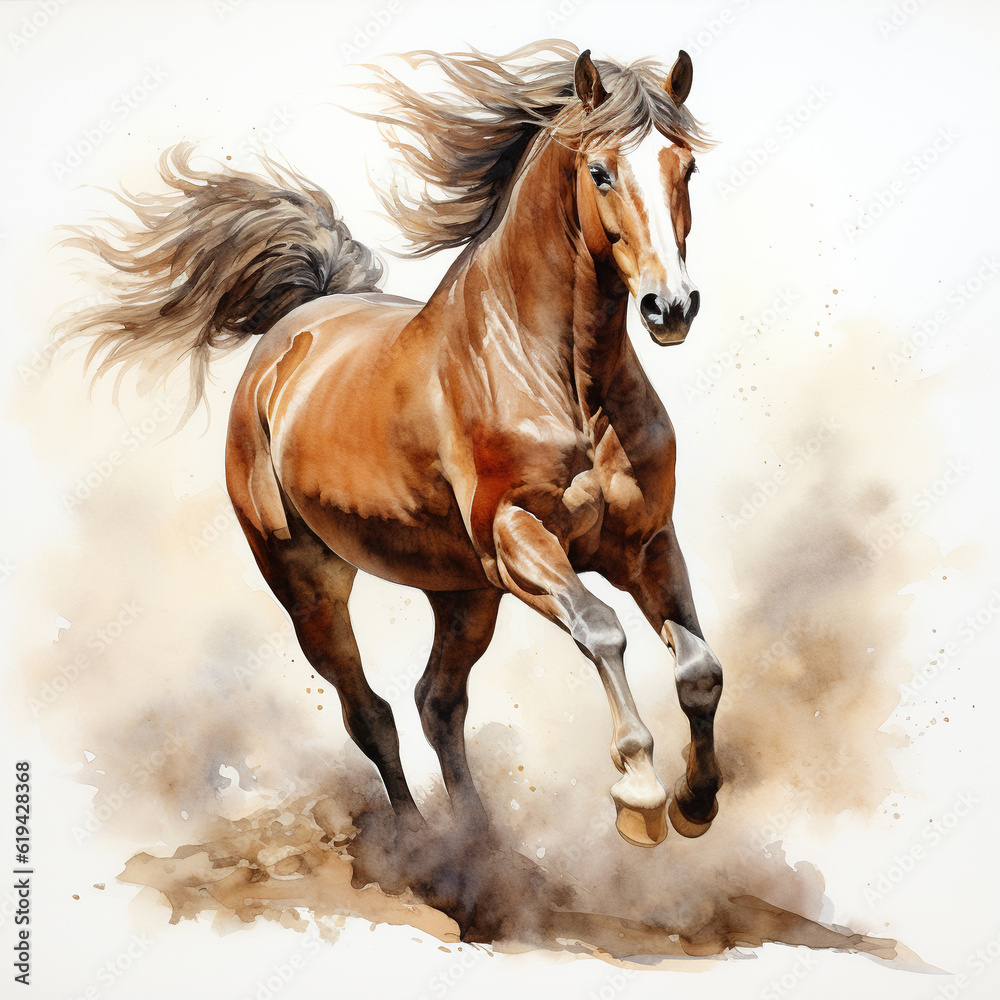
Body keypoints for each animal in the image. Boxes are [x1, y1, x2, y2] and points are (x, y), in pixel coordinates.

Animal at [65, 41, 723, 848]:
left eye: (686, 168)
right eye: (600, 171)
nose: (671, 307)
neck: (559, 379)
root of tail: (292, 333)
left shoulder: (645, 543)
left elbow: (698, 667)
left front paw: (696, 801)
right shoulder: (518, 541)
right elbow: (601, 631)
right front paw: (639, 796)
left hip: (461, 594)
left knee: (436, 700)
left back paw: (484, 849)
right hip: (311, 585)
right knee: (368, 712)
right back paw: (419, 847)